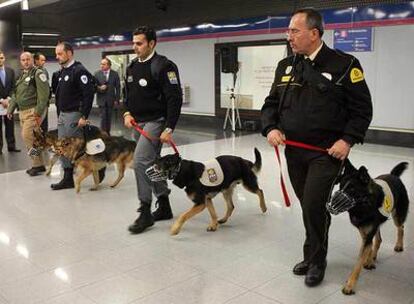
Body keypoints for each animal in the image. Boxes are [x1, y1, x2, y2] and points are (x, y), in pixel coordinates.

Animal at [328, 160, 410, 296]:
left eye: (352, 189)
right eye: (341, 187)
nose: (330, 206)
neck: (364, 205)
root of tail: (393, 175)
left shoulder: (368, 232)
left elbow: (358, 263)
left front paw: (349, 286)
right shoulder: (364, 230)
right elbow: (369, 246)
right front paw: (369, 260)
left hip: (397, 216)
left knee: (401, 227)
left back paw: (399, 245)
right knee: (379, 239)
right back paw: (372, 257)